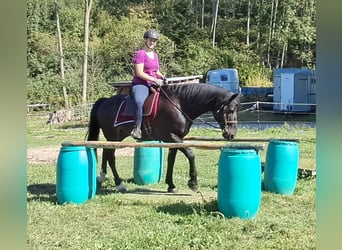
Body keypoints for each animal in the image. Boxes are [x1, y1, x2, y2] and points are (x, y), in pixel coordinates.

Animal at [86, 83, 240, 192]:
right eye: (230, 110)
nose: (232, 134)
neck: (179, 104)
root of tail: (105, 101)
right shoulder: (172, 137)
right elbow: (190, 154)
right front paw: (193, 183)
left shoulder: (174, 139)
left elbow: (171, 159)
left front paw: (171, 185)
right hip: (113, 136)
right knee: (110, 156)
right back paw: (119, 184)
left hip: (114, 137)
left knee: (106, 154)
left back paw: (102, 177)